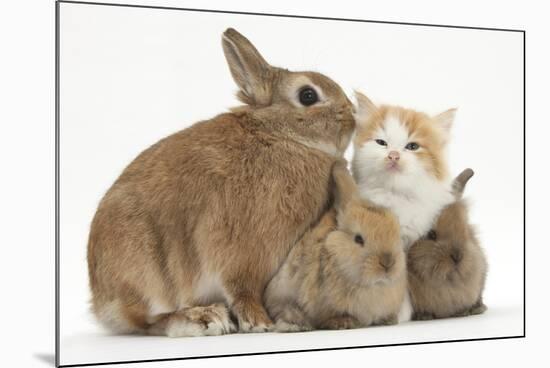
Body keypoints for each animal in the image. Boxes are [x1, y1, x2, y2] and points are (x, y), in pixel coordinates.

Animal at [85, 28, 354, 336]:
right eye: (308, 95)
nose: (352, 113)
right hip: (146, 271)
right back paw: (204, 318)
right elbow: (242, 289)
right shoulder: (241, 253)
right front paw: (260, 323)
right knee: (149, 321)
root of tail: (102, 301)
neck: (282, 136)